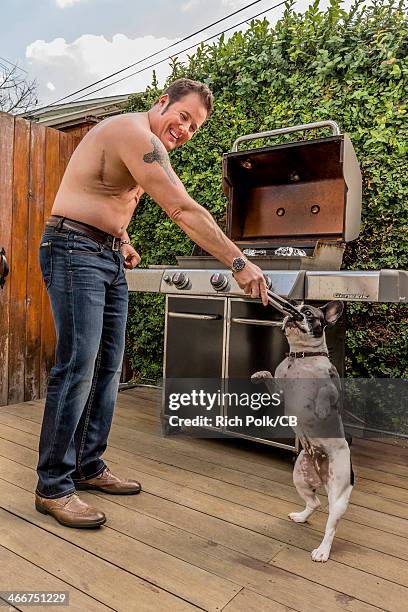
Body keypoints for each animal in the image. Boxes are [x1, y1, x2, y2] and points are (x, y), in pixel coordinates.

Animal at [252, 302, 354, 564]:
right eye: (293, 306)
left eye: (307, 312)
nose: (291, 313)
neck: (300, 357)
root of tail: (321, 475)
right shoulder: (280, 392)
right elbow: (270, 376)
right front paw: (259, 375)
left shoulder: (334, 388)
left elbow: (325, 391)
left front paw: (321, 407)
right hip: (300, 477)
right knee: (315, 502)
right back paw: (301, 516)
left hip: (339, 494)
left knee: (331, 526)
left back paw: (322, 551)